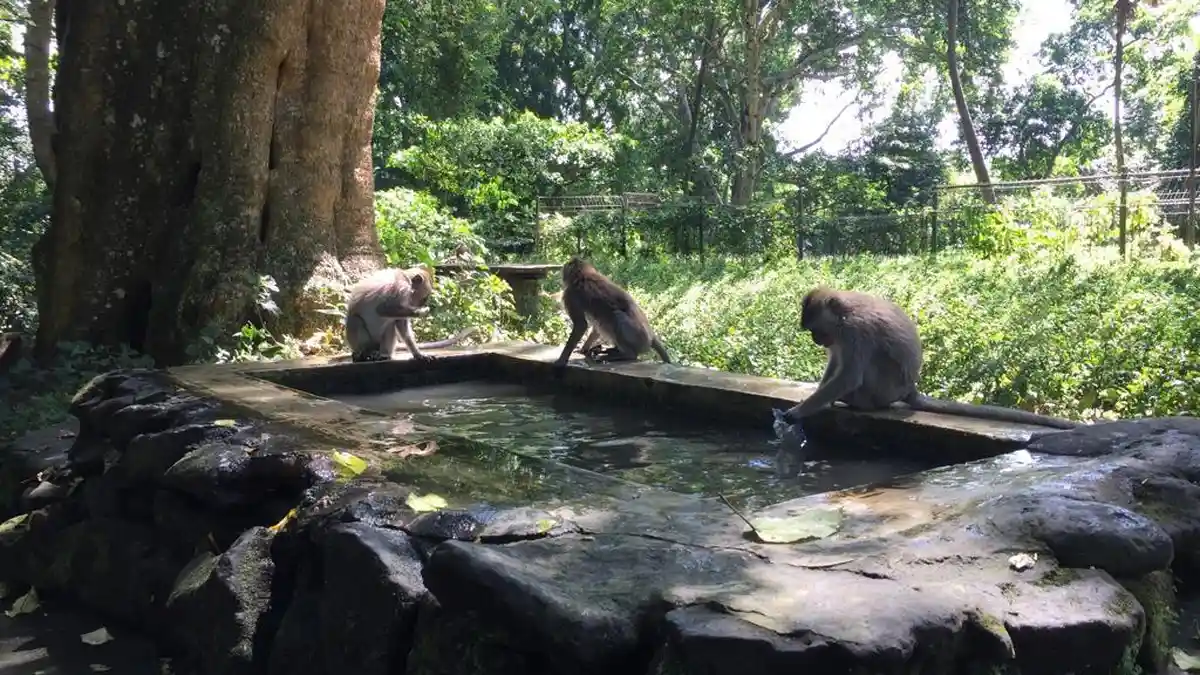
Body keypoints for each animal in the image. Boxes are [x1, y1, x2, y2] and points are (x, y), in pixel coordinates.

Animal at [343, 265, 474, 362]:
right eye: (424, 298)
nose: (421, 304)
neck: (406, 277)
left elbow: (401, 324)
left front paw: (418, 354)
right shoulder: (401, 289)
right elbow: (382, 309)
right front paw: (420, 312)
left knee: (390, 326)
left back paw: (383, 355)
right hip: (356, 341)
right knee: (356, 321)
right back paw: (364, 354)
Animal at [780, 286, 1079, 430]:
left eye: (816, 329)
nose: (815, 340)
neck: (844, 313)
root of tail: (910, 389)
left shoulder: (856, 331)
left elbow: (850, 375)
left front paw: (800, 411)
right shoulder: (841, 337)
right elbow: (835, 363)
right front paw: (815, 398)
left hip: (882, 390)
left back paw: (855, 402)